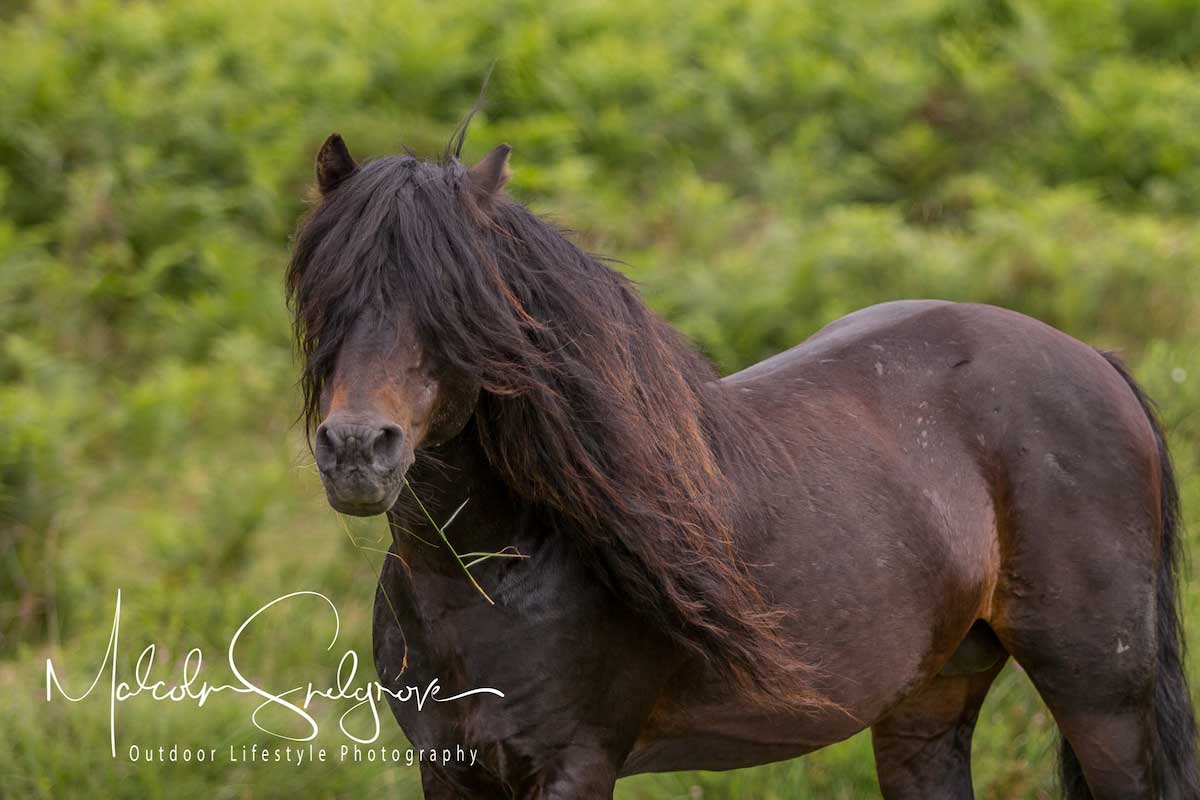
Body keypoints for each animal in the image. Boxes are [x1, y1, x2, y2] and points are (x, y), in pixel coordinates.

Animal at [285, 133, 1195, 800]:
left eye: (454, 305)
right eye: (325, 296)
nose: (358, 450)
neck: (491, 575)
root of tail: (1096, 362)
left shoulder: (575, 764)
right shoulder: (453, 770)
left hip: (1102, 702)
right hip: (930, 702)